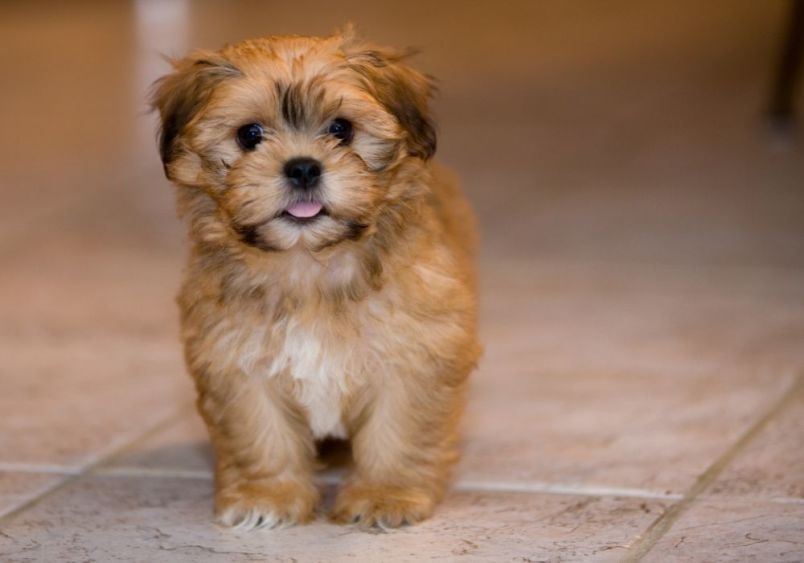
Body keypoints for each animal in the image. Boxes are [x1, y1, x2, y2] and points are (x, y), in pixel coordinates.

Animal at [150, 28, 478, 532]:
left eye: (341, 129)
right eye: (250, 135)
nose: (303, 167)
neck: (307, 266)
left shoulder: (414, 354)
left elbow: (396, 433)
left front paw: (385, 496)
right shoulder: (236, 362)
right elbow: (261, 435)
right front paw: (267, 496)